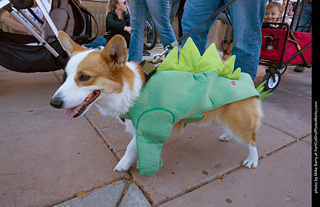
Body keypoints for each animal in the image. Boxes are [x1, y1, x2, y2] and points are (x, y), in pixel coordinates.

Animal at [51, 30, 262, 173]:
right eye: (66, 75)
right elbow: (133, 144)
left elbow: (131, 146)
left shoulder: (150, 125)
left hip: (240, 122)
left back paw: (252, 160)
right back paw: (226, 135)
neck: (130, 91)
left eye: (84, 77)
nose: (54, 103)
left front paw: (124, 164)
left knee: (252, 140)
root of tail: (246, 79)